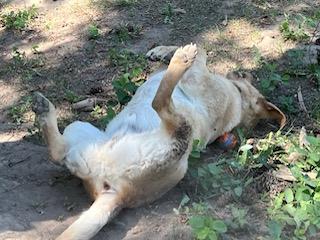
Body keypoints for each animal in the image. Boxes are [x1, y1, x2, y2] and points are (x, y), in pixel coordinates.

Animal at [32, 44, 286, 239]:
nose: (238, 72)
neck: (239, 100)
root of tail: (117, 193)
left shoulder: (202, 75)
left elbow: (202, 52)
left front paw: (176, 54)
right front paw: (161, 52)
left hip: (177, 138)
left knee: (160, 102)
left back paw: (180, 61)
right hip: (80, 130)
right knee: (59, 152)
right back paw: (44, 110)